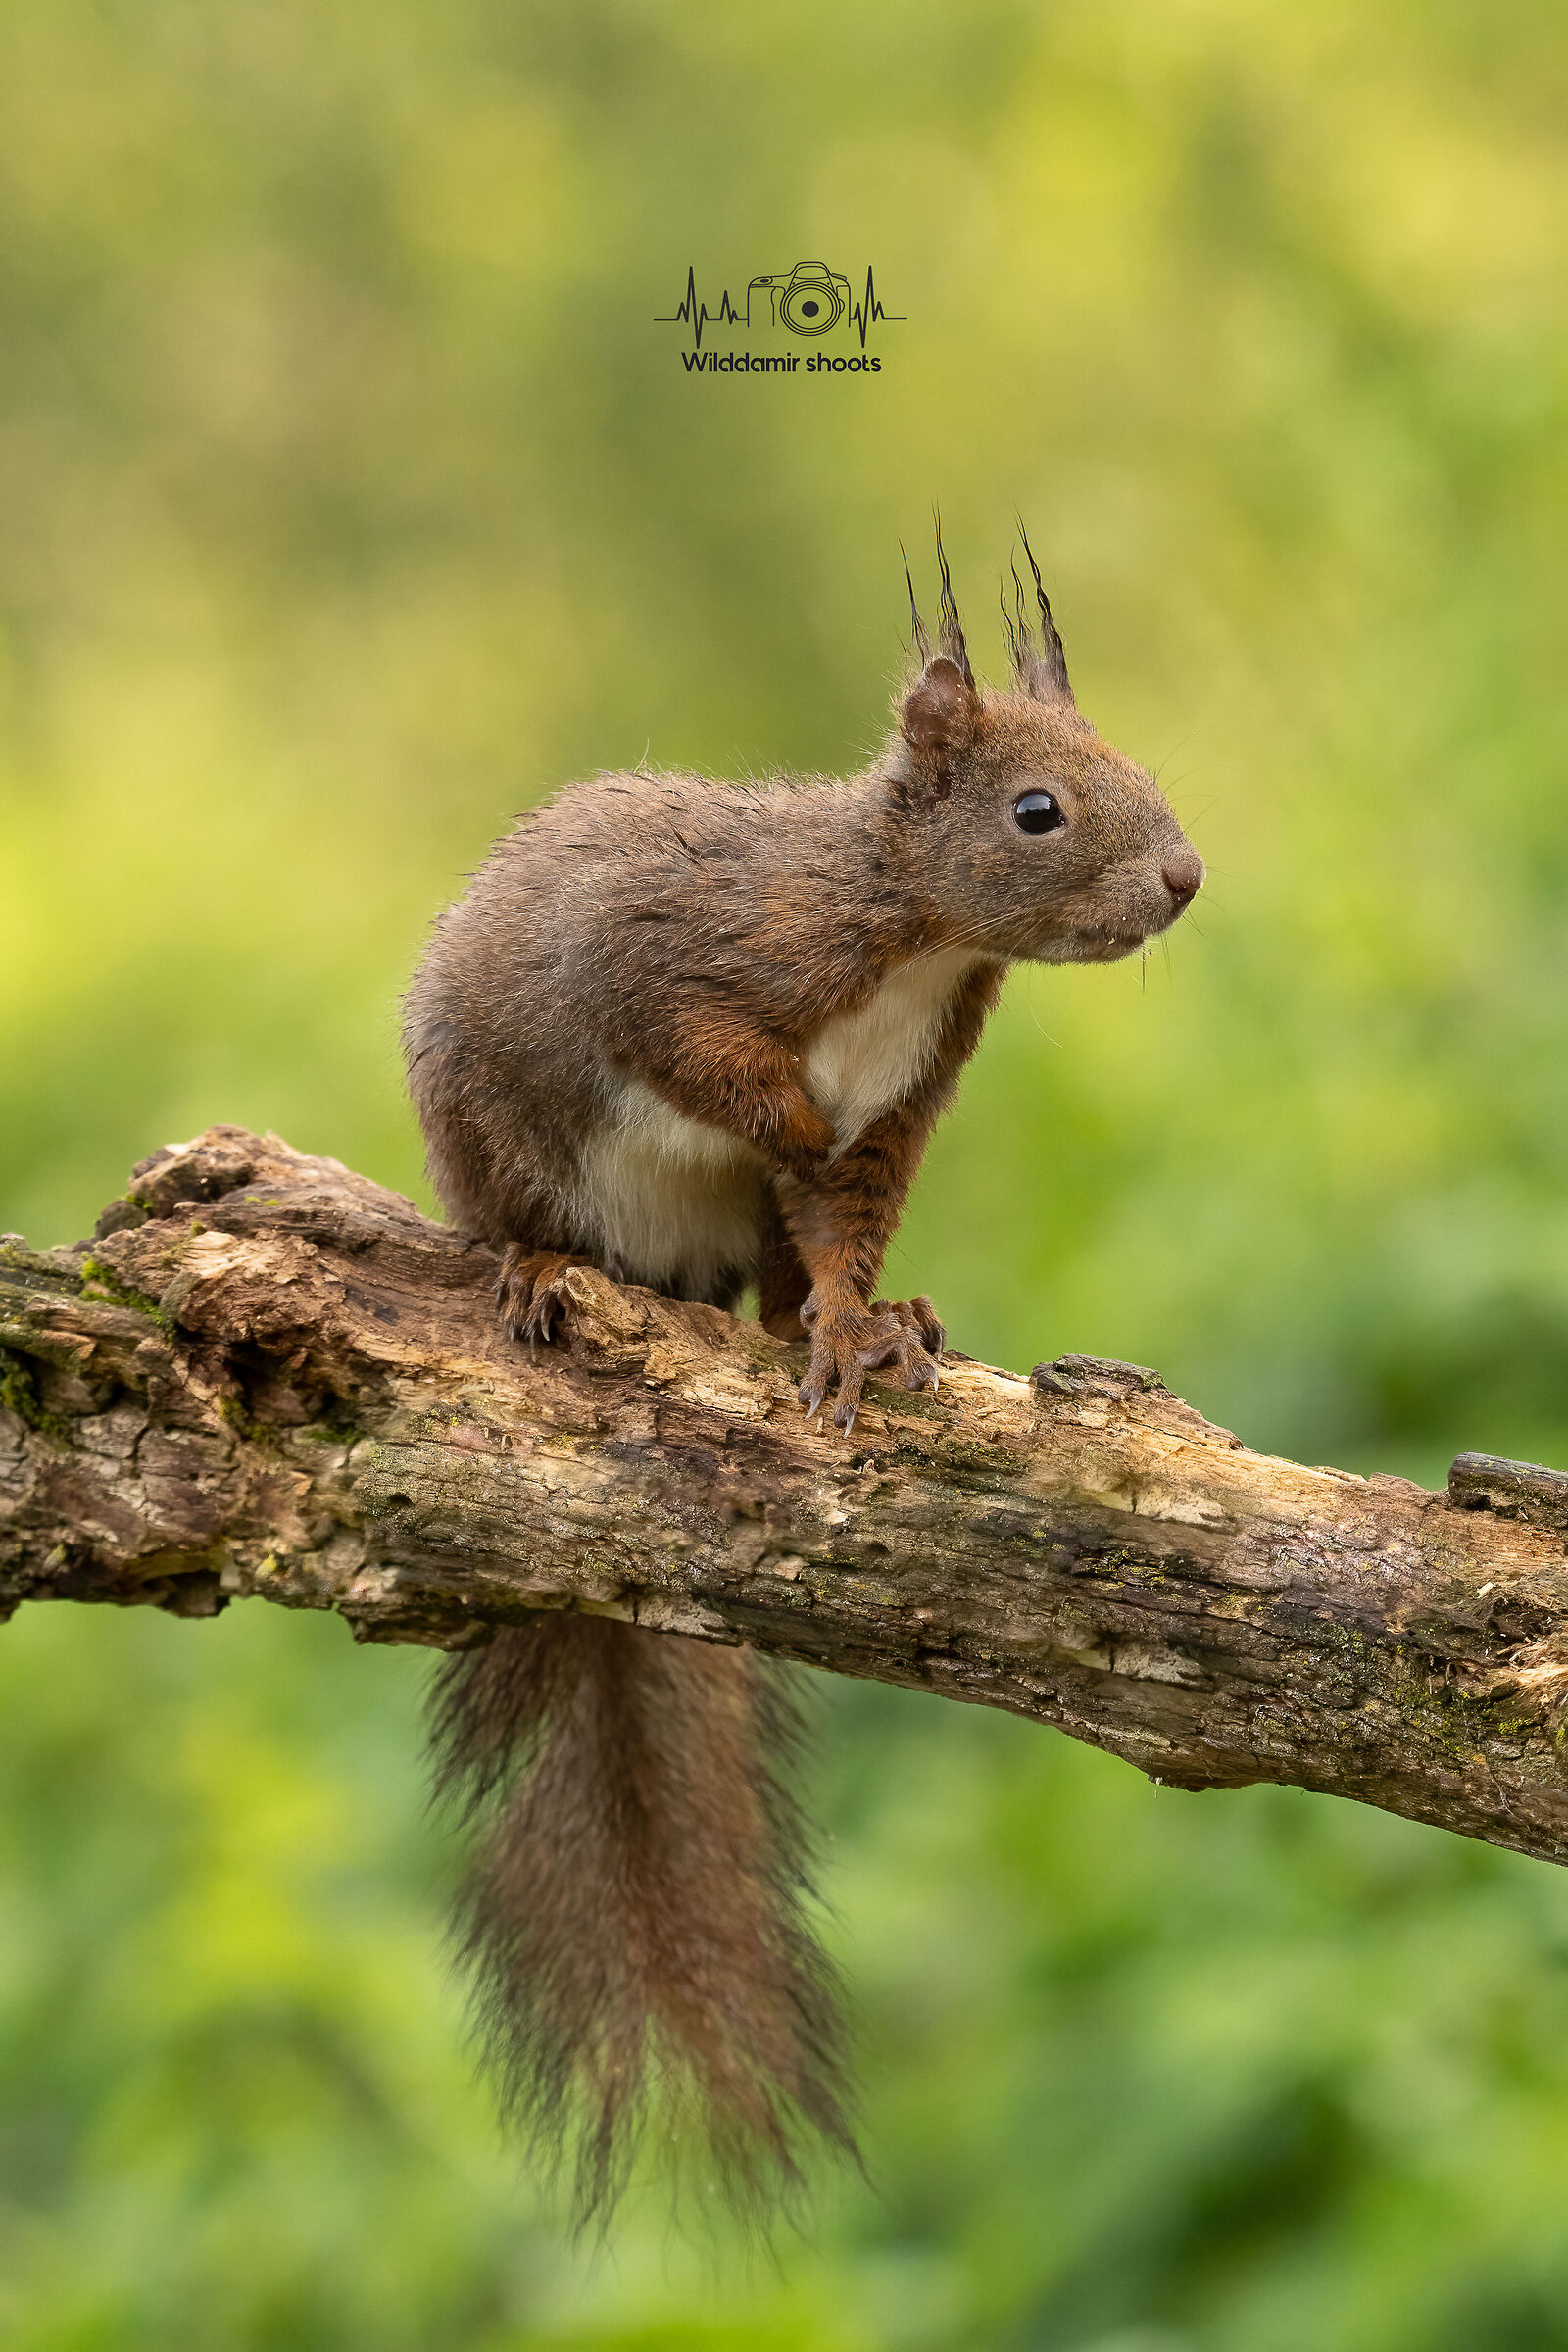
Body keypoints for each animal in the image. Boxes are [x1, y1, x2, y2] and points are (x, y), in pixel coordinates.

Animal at [403, 531, 1203, 2225]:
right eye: (1038, 810)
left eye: (1137, 767)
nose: (1185, 882)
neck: (916, 931)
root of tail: (653, 1276)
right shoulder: (672, 957)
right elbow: (704, 1056)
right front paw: (781, 1113)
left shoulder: (910, 1095)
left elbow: (843, 1220)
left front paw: (855, 1326)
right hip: (487, 1119)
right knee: (519, 1209)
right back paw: (533, 1272)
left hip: (724, 1244)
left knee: (768, 1286)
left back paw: (859, 1327)